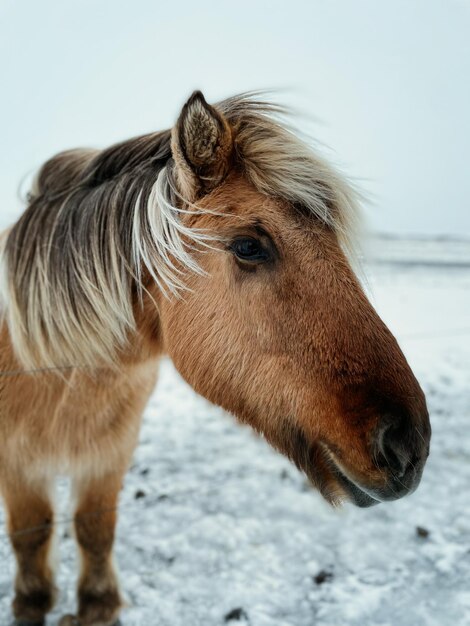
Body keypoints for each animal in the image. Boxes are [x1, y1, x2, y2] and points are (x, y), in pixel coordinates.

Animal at [0, 89, 430, 624]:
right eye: (248, 246)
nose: (408, 446)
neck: (53, 369)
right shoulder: (18, 464)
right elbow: (31, 536)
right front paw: (33, 601)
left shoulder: (110, 454)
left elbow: (94, 529)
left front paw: (98, 604)